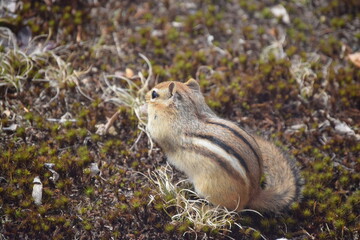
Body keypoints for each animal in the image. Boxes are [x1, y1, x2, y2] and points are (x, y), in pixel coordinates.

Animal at [142, 79, 302, 212]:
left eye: (154, 94)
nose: (145, 95)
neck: (192, 110)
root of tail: (253, 194)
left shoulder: (159, 128)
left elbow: (154, 133)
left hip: (208, 189)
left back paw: (199, 206)